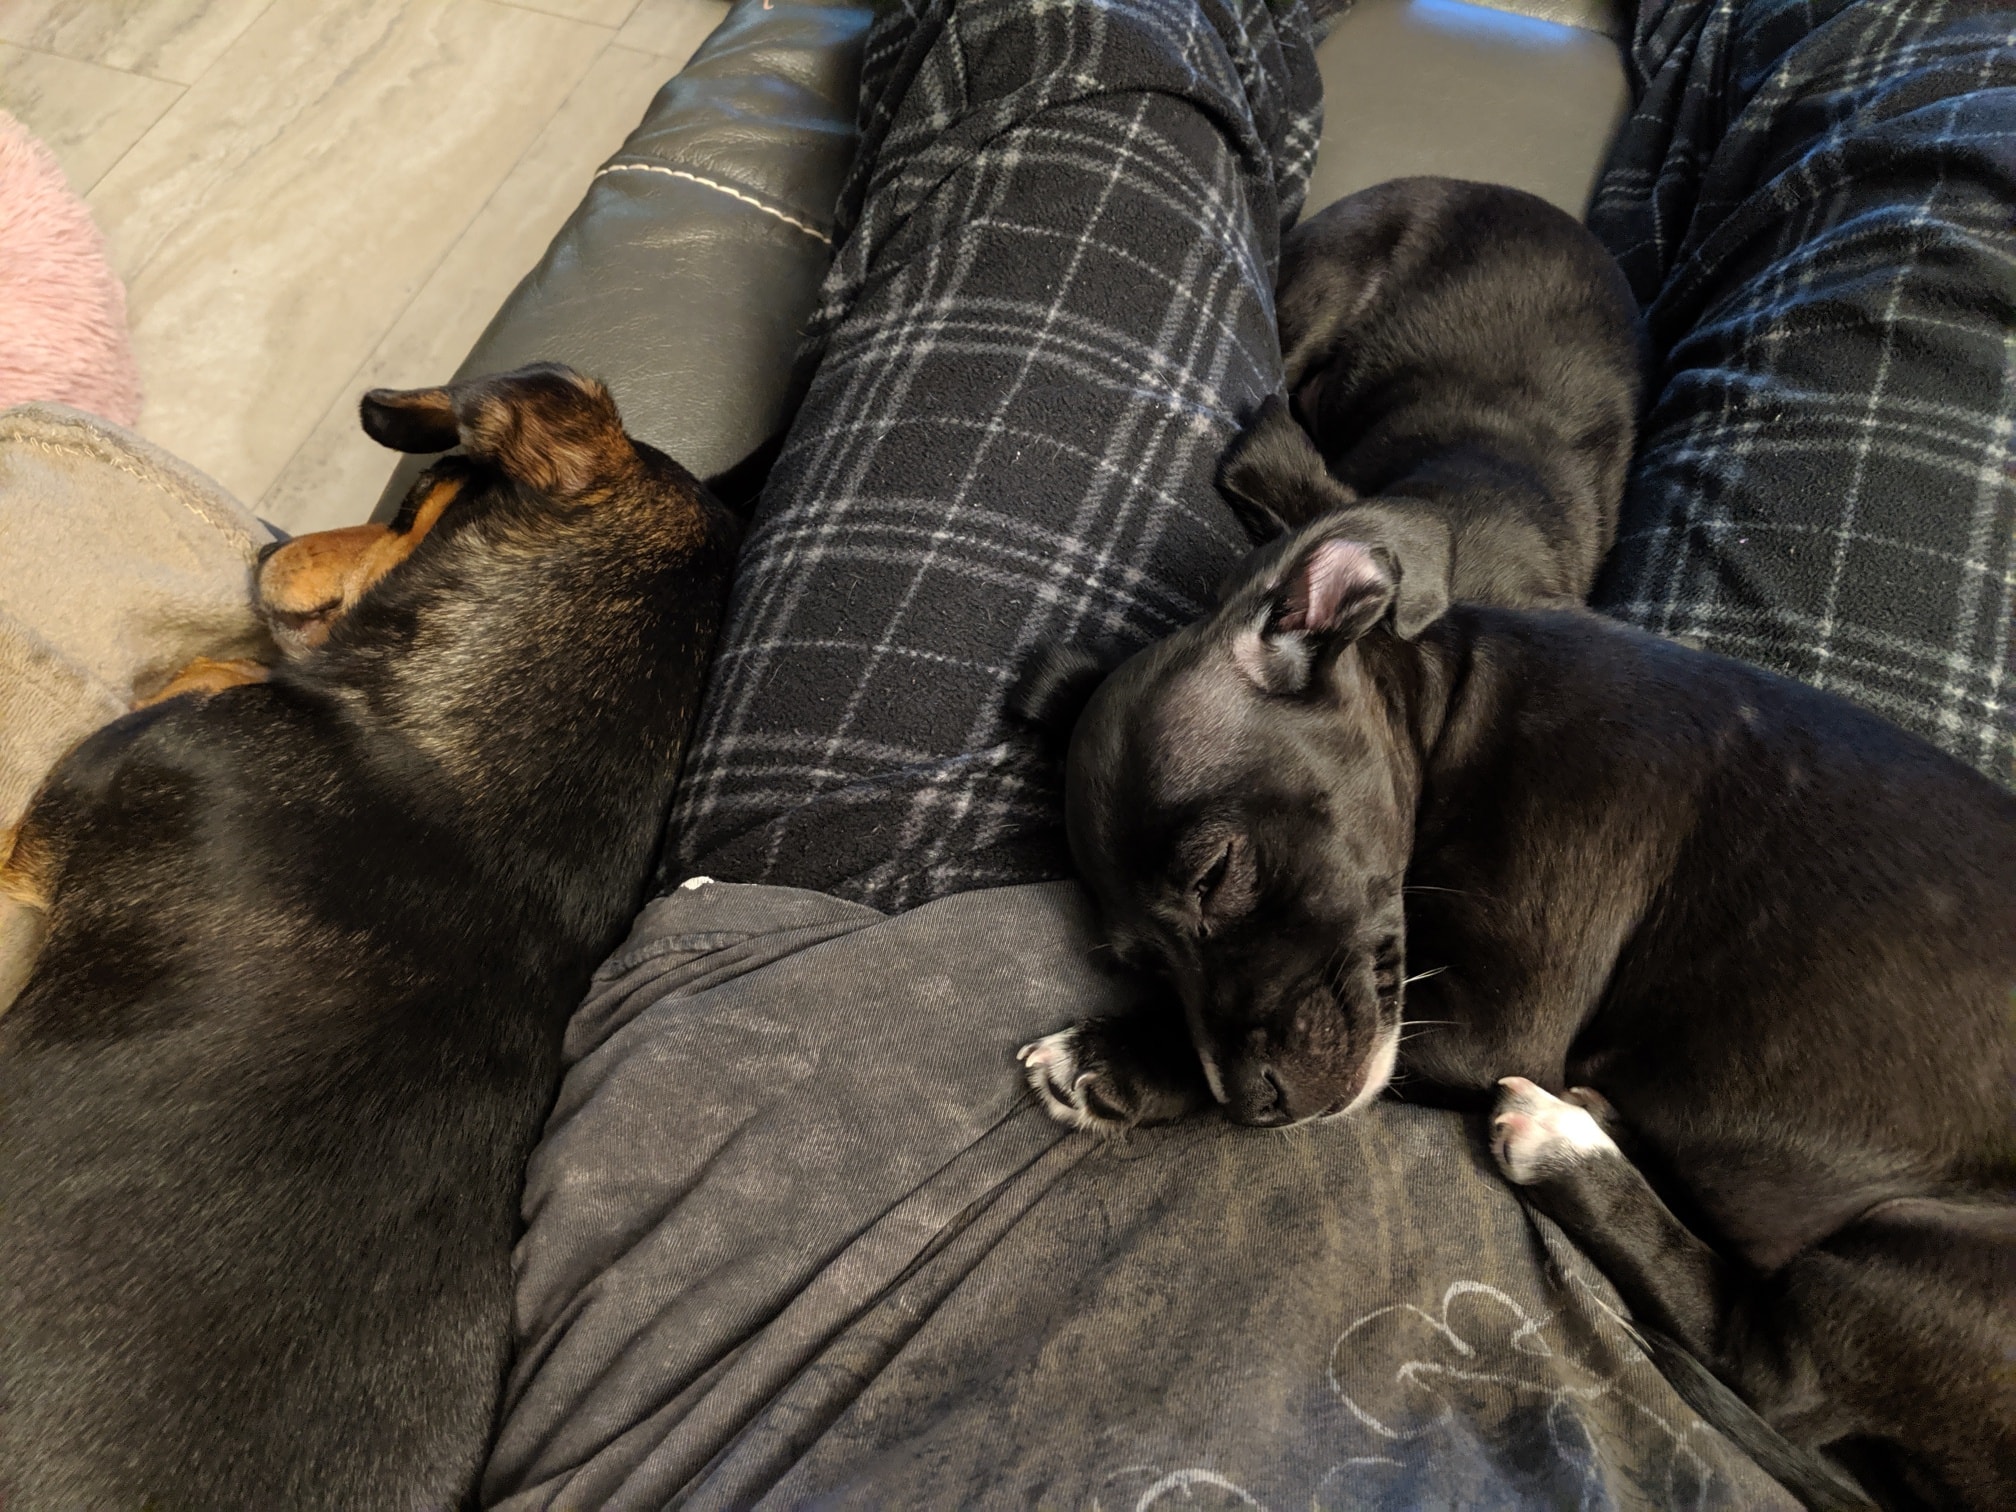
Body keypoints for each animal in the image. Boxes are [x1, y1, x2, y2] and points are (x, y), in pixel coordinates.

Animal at [1013, 518, 2016, 1508]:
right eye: (1137, 962)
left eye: (1213, 875)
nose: (1254, 1105)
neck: (1453, 713)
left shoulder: (1497, 1022)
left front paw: (1119, 1059)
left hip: (1920, 1254)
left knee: (1767, 1371)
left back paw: (1564, 1144)